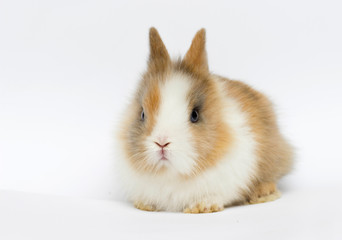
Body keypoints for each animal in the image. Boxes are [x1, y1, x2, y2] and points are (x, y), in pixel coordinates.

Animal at [116, 27, 292, 213]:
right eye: (142, 114)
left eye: (195, 115)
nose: (162, 142)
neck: (172, 174)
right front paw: (144, 205)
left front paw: (203, 206)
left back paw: (263, 193)